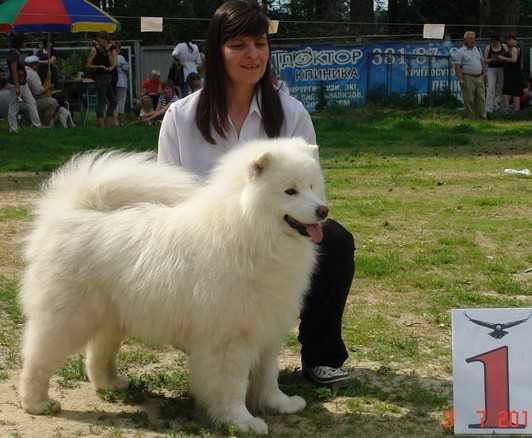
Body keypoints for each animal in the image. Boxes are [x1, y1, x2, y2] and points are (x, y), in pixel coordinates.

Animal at [18, 137, 326, 434]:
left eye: (312, 186)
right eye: (290, 191)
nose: (323, 210)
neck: (250, 233)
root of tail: (73, 213)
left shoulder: (266, 329)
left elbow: (268, 376)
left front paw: (280, 404)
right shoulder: (230, 339)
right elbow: (233, 386)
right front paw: (241, 421)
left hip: (114, 317)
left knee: (98, 355)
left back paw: (111, 384)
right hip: (69, 319)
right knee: (38, 359)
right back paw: (37, 403)